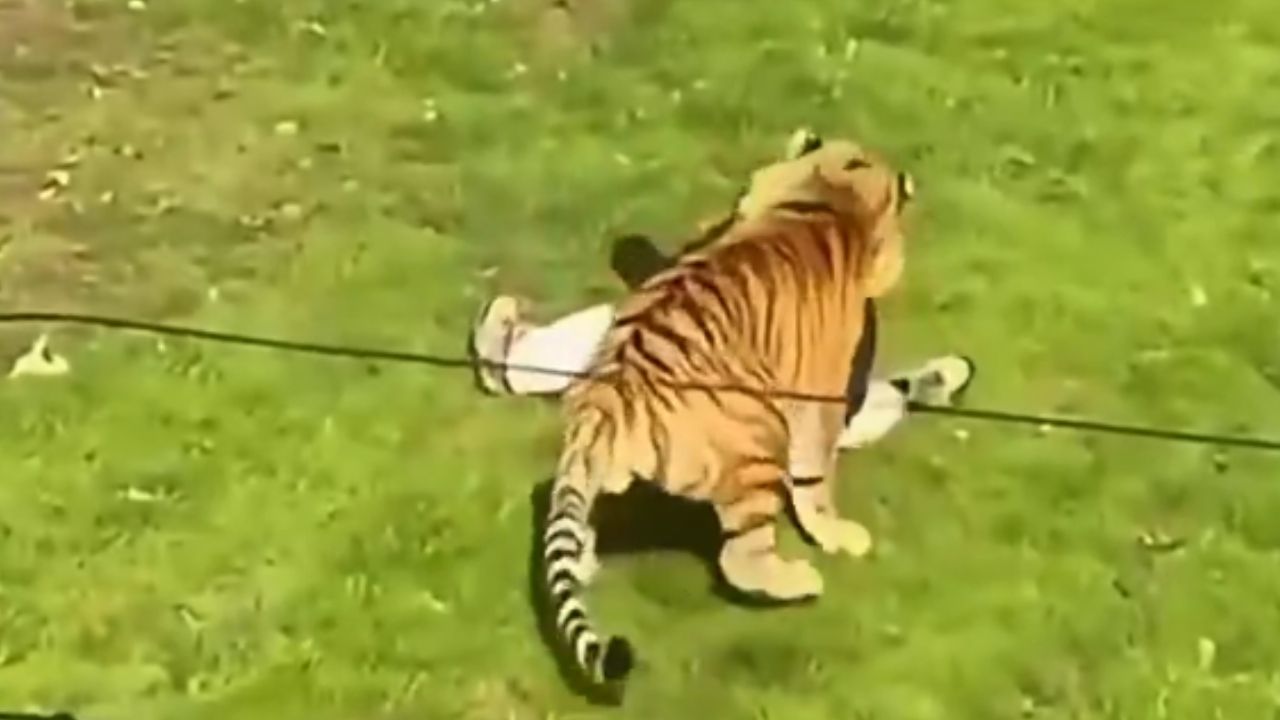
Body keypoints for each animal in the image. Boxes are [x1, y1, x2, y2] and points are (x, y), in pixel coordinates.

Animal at [540, 135, 919, 692]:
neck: (824, 198)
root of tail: (602, 408)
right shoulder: (818, 398)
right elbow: (815, 475)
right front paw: (834, 533)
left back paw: (586, 561)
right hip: (760, 444)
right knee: (740, 559)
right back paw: (800, 580)